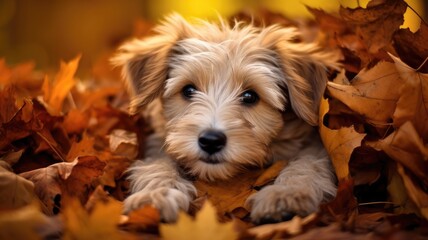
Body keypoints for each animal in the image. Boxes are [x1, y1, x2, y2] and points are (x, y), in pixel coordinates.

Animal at [113, 14, 342, 224]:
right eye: (188, 90)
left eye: (250, 96)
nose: (211, 141)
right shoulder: (158, 142)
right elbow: (157, 164)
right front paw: (156, 195)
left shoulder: (313, 144)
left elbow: (307, 164)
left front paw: (285, 194)